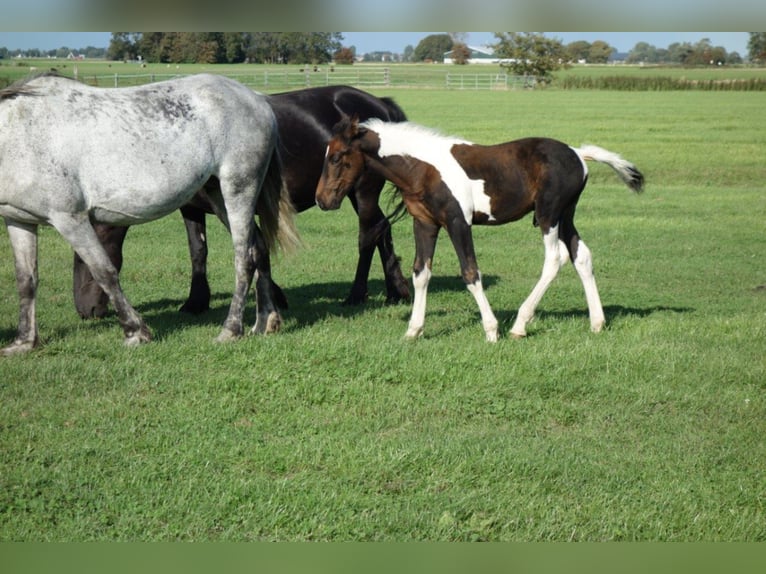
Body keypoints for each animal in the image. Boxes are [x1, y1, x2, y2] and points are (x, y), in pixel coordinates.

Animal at [0, 73, 298, 354]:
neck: (21, 133)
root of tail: (258, 99)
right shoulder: (19, 220)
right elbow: (26, 280)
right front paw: (23, 343)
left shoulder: (70, 218)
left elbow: (104, 272)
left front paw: (135, 332)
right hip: (217, 194)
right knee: (259, 248)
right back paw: (266, 322)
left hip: (239, 188)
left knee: (244, 258)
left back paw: (231, 330)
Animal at [74, 85, 412, 320]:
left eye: (85, 259)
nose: (84, 310)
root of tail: (379, 103)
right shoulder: (192, 208)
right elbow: (198, 252)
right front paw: (196, 301)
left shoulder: (230, 202)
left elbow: (252, 244)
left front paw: (274, 297)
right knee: (382, 229)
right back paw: (397, 291)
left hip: (362, 190)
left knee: (368, 235)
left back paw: (357, 294)